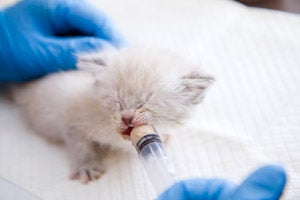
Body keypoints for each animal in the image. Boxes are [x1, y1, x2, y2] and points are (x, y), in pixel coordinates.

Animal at [11, 47, 213, 184]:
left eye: (145, 103)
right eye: (118, 101)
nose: (127, 117)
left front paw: (164, 135)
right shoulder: (72, 120)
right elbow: (79, 145)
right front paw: (86, 166)